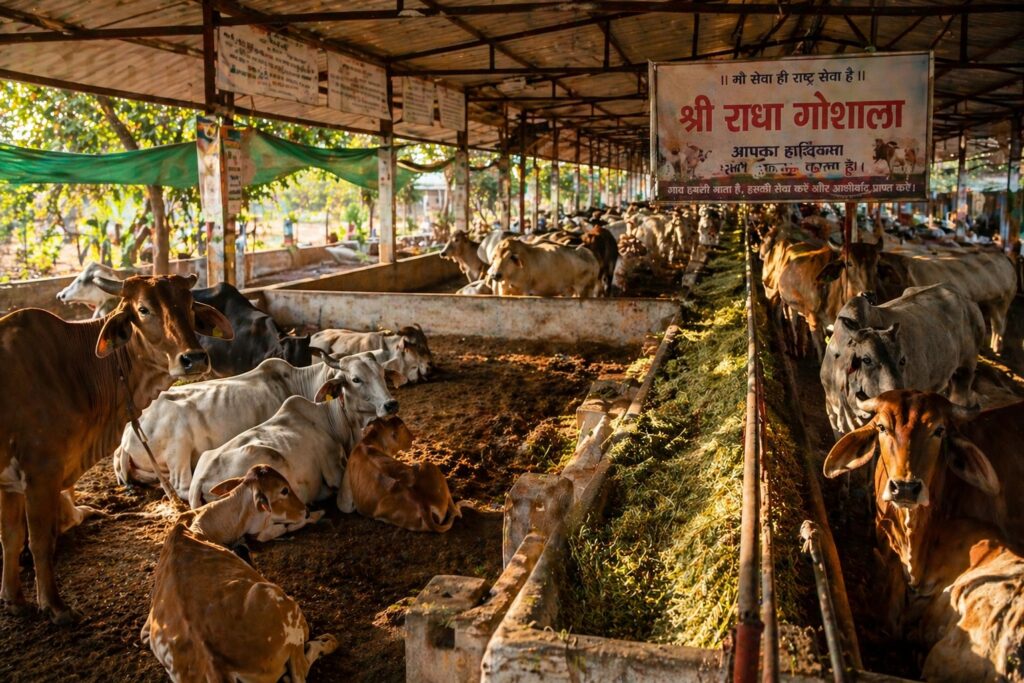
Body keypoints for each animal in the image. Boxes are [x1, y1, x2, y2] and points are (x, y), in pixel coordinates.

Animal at [0, 274, 232, 623]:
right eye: (143, 309)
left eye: (190, 304)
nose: (194, 358)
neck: (73, 367)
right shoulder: (41, 472)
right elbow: (40, 541)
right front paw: (55, 606)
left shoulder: (10, 483)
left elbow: (12, 538)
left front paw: (14, 600)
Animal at [115, 351, 398, 500]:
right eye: (356, 379)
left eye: (382, 374)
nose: (391, 404)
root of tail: (127, 435)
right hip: (180, 452)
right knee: (181, 486)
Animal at [144, 465, 337, 682]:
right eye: (284, 490)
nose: (306, 510)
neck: (202, 523)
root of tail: (216, 667)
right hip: (282, 602)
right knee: (299, 669)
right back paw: (327, 642)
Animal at [188, 369, 403, 535]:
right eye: (355, 379)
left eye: (381, 372)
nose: (391, 404)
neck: (329, 421)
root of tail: (199, 481)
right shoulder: (333, 470)